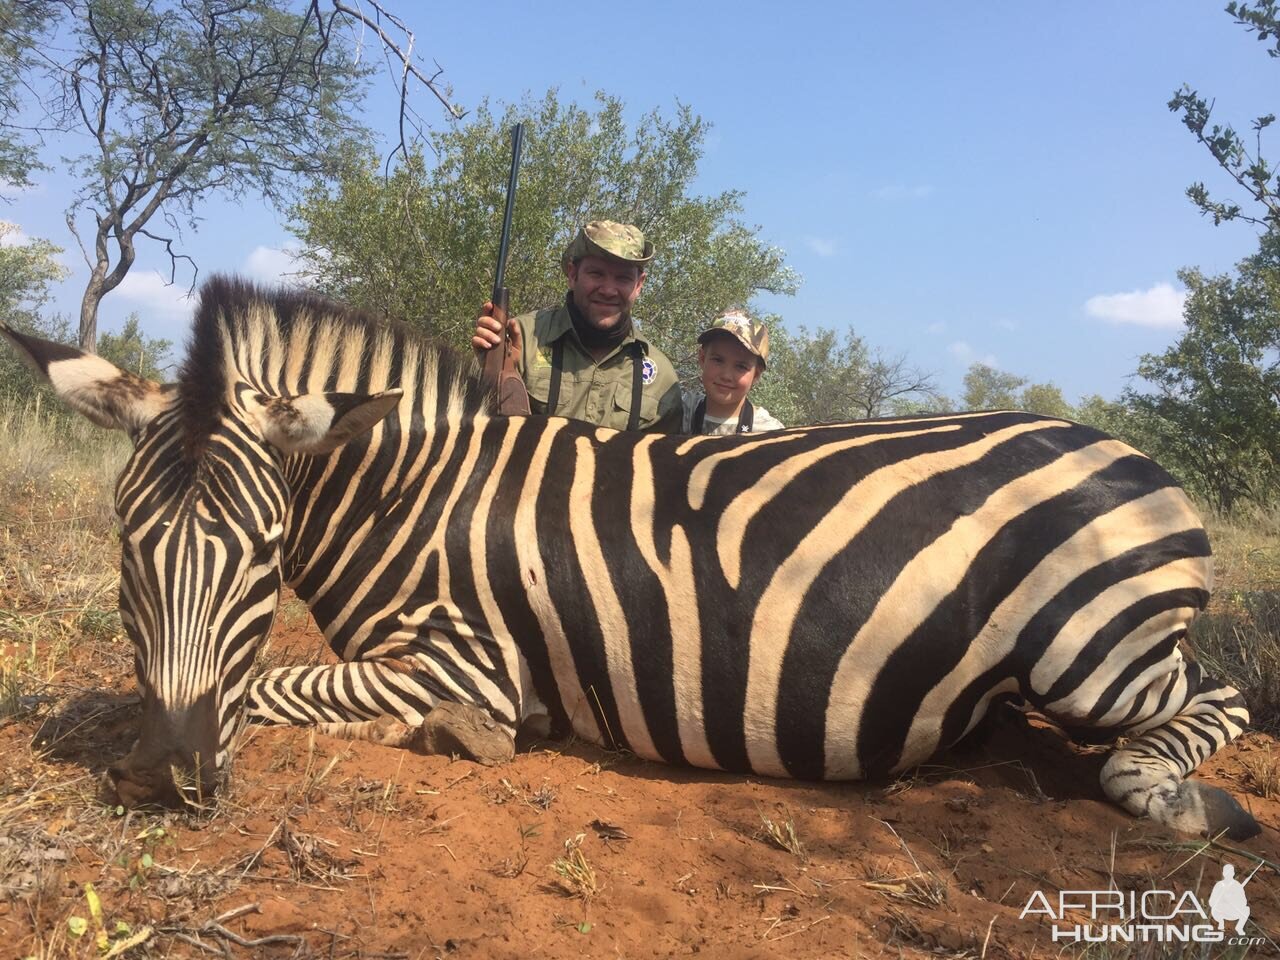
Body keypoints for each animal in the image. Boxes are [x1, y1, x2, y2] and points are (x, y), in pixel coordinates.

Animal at [0, 276, 1259, 839]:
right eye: (126, 547)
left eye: (262, 555)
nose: (163, 780)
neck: (407, 496)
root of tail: (1136, 455)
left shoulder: (462, 658)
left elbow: (268, 682)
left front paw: (462, 738)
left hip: (1091, 655)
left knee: (1216, 699)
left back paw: (1181, 800)